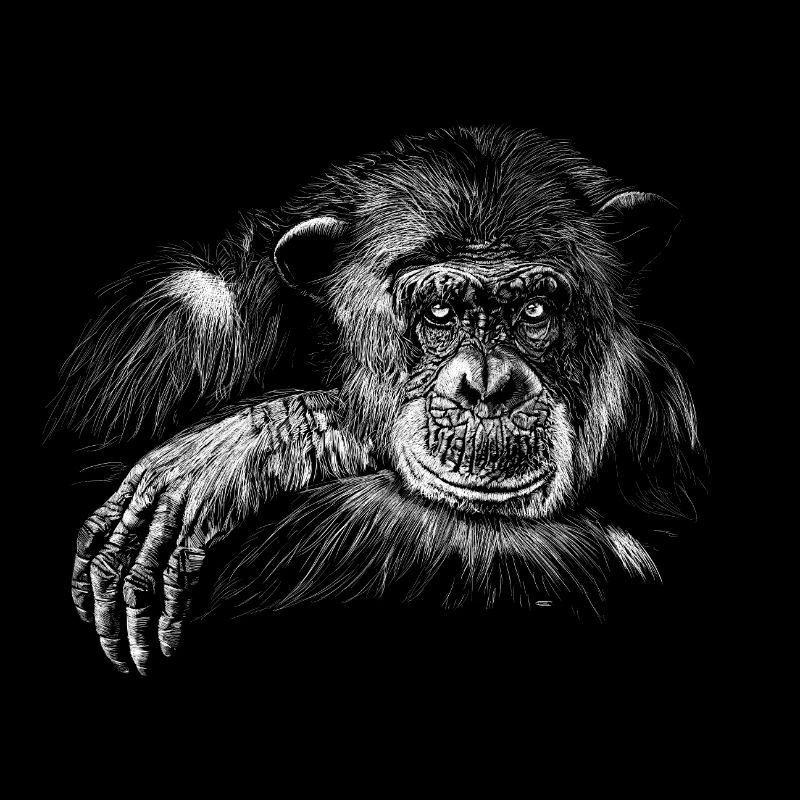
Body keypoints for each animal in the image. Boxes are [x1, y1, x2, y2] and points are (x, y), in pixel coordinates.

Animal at [52, 126, 702, 675]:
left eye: (535, 311)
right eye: (438, 312)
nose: (487, 384)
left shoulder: (662, 406)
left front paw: (239, 450)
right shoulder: (173, 324)